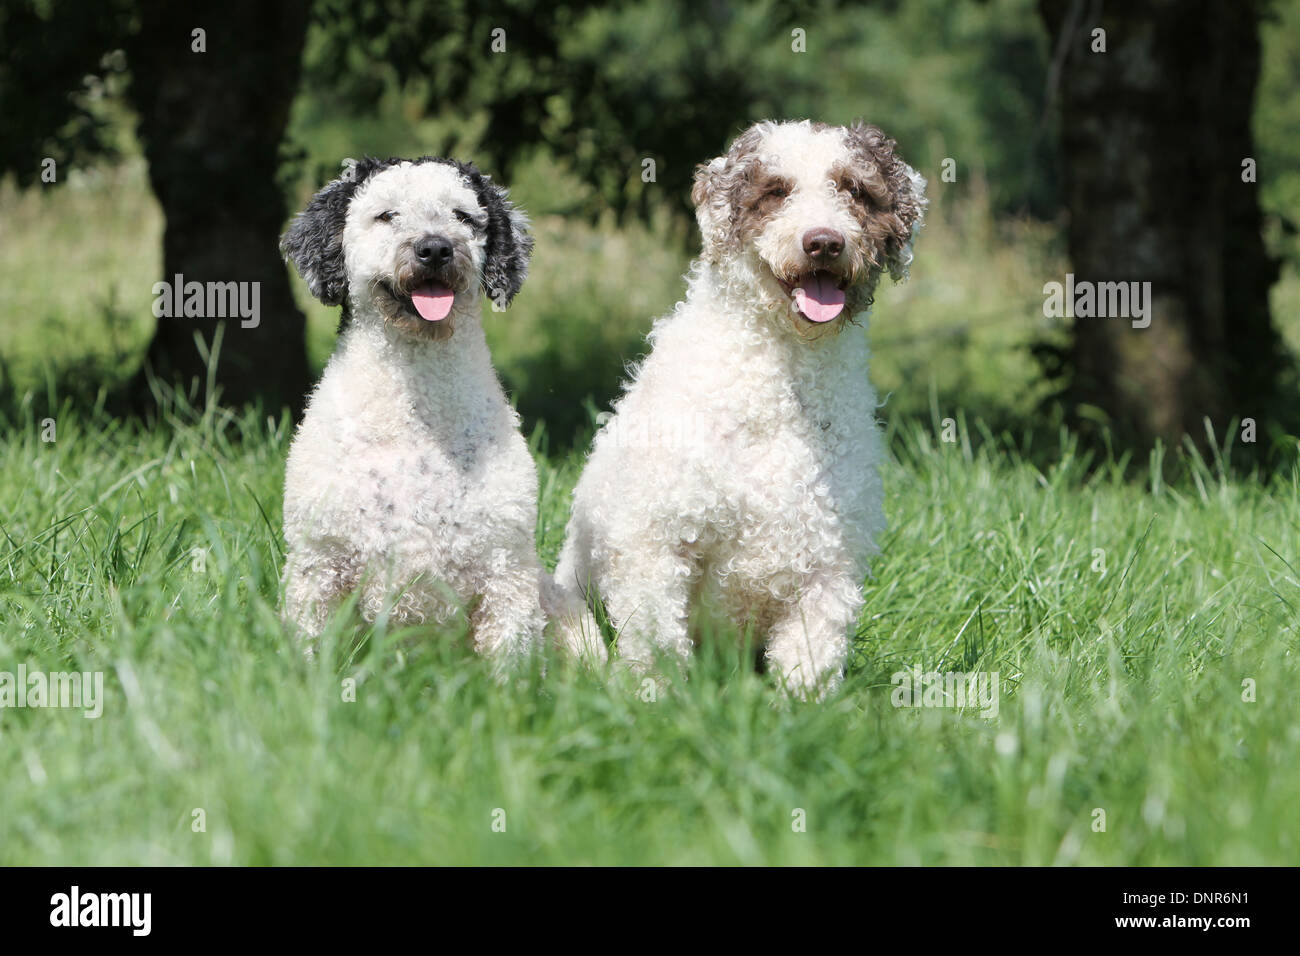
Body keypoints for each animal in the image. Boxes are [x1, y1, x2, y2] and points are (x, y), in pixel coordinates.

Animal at [279, 155, 548, 671]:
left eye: (463, 216)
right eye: (387, 215)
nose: (435, 248)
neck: (415, 424)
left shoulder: (507, 570)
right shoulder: (318, 563)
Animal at [553, 121, 930, 697]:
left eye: (855, 191)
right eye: (775, 191)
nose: (824, 242)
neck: (781, 388)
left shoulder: (828, 566)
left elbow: (810, 659)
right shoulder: (654, 543)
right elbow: (657, 644)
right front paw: (655, 699)